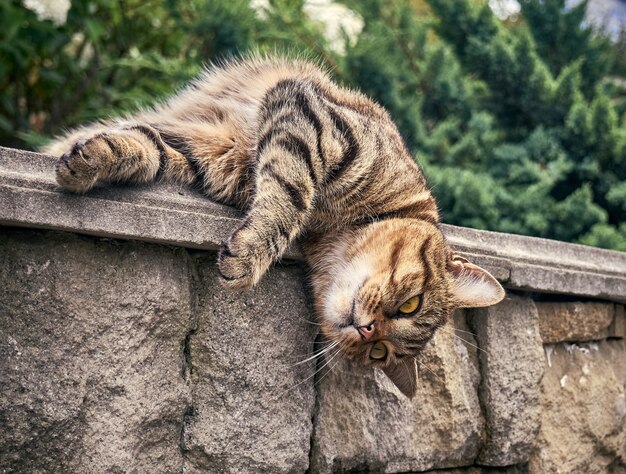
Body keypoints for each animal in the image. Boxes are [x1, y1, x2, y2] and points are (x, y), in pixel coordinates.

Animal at [44, 54, 502, 396]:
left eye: (379, 354)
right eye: (411, 305)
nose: (367, 330)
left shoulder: (205, 155)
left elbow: (150, 147)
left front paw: (95, 158)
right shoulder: (314, 120)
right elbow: (292, 192)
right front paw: (251, 253)